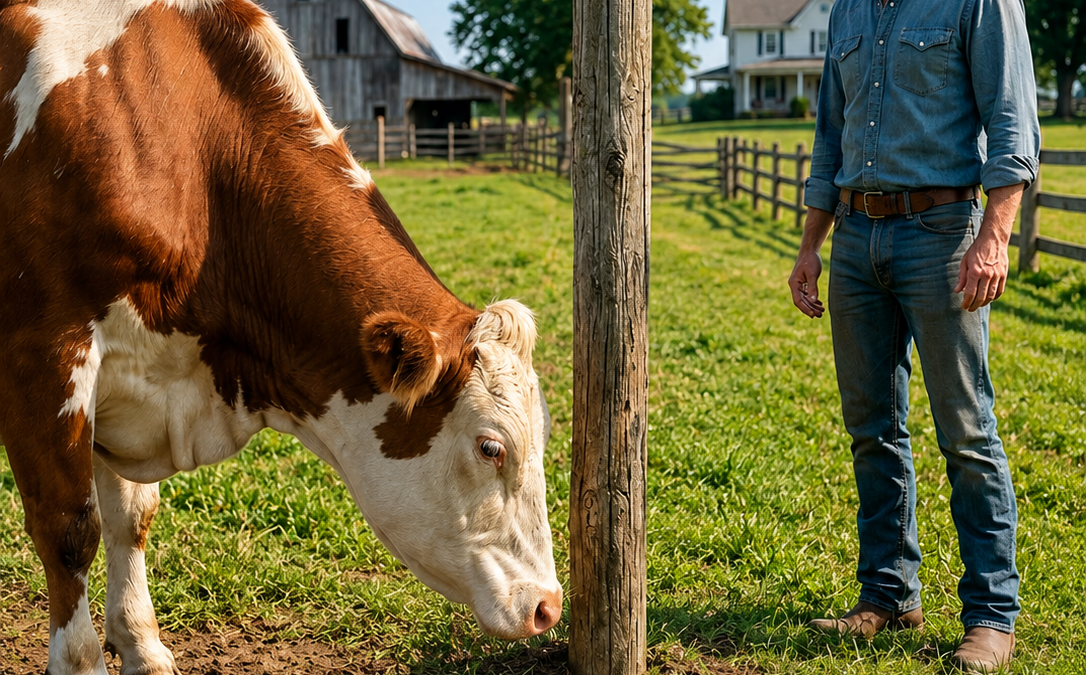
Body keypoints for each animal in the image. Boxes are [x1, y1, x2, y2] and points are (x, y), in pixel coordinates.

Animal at [0, 1, 563, 673]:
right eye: (490, 447)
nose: (549, 607)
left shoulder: (127, 379)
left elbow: (131, 517)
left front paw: (140, 642)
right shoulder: (46, 355)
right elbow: (69, 530)